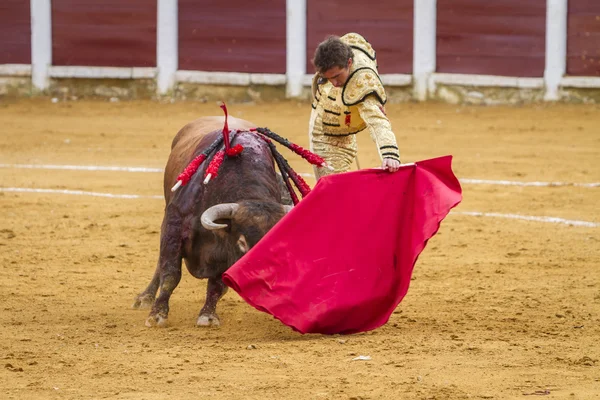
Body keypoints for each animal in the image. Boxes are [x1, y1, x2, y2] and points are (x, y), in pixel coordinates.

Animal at [132, 114, 292, 326]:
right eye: (242, 242)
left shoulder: (225, 254)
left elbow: (217, 285)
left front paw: (207, 315)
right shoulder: (174, 228)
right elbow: (170, 274)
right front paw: (157, 315)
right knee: (161, 263)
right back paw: (145, 298)